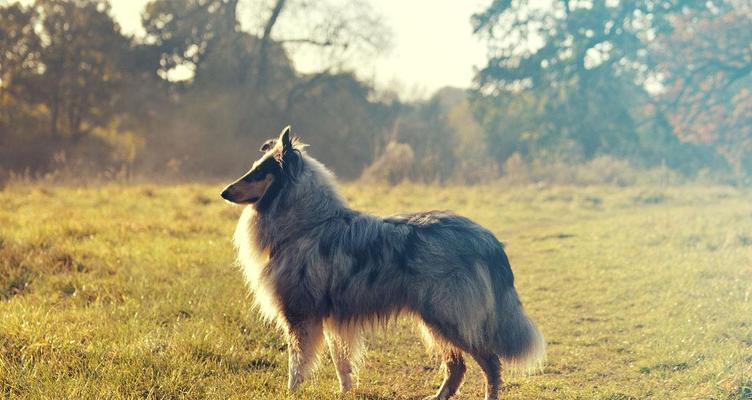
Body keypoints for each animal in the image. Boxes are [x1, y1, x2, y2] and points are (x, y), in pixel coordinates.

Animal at [220, 126, 544, 398]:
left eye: (258, 172)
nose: (223, 192)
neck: (307, 224)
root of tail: (486, 238)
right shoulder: (331, 318)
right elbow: (341, 362)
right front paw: (345, 392)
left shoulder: (300, 314)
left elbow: (296, 365)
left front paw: (291, 392)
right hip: (436, 321)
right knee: (458, 367)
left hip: (448, 317)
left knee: (490, 362)